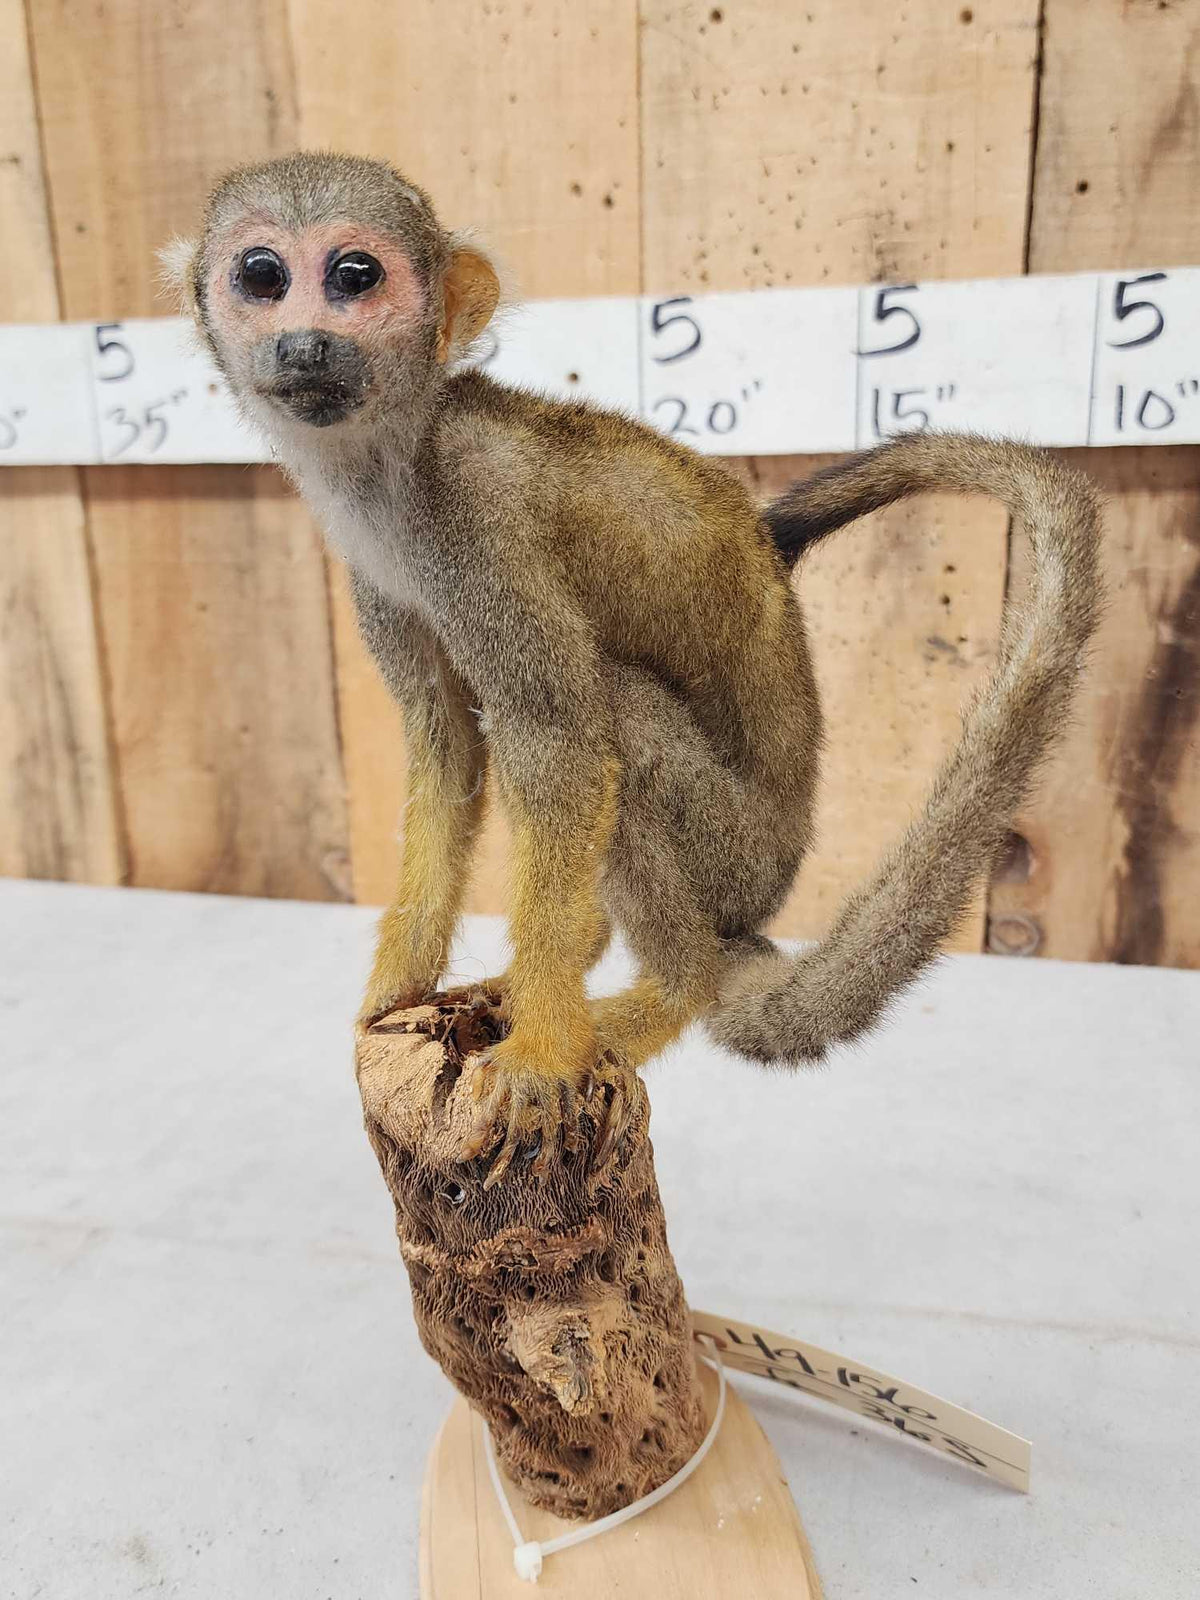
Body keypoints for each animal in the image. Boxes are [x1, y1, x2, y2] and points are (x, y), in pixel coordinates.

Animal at [168, 152, 1102, 1186]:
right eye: (261, 275)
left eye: (355, 276)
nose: (303, 344)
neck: (391, 461)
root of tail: (758, 904)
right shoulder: (370, 564)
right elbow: (447, 746)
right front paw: (397, 988)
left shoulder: (475, 520)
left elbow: (560, 737)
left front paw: (541, 1051)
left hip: (733, 854)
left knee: (613, 711)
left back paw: (669, 989)